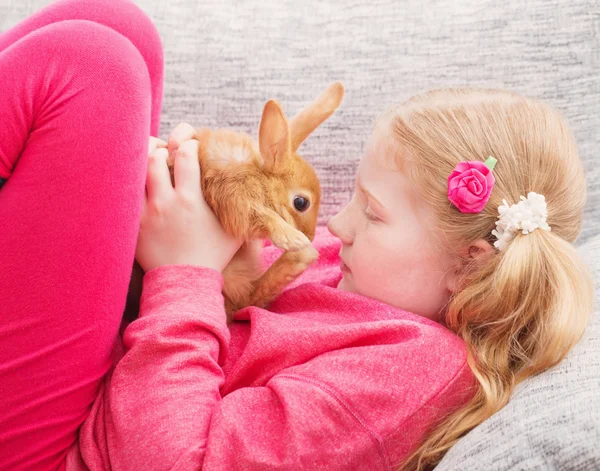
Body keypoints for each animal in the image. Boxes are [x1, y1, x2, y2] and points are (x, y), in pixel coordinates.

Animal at [124, 82, 344, 324]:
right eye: (301, 203)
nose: (311, 237)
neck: (258, 174)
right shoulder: (234, 197)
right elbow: (264, 216)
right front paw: (294, 239)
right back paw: (302, 255)